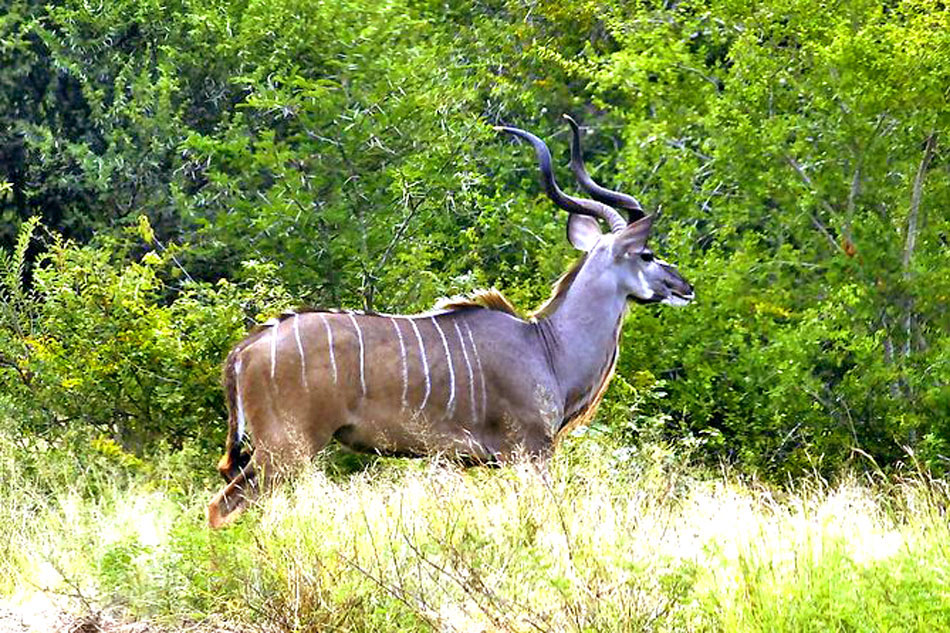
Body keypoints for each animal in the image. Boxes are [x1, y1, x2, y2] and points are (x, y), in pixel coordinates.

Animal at [208, 117, 696, 528]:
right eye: (648, 254)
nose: (684, 286)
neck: (547, 347)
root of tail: (246, 349)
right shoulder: (531, 452)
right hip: (286, 451)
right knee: (225, 506)